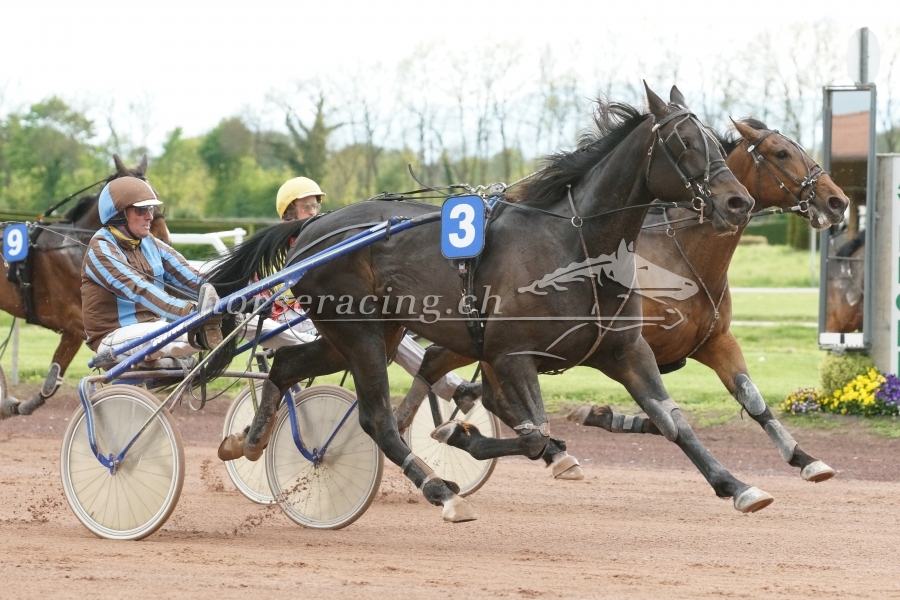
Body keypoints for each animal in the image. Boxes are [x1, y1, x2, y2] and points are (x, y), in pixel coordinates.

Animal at [0, 155, 171, 418]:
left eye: (156, 197)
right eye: (142, 207)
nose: (164, 238)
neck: (76, 246)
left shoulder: (73, 330)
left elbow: (55, 374)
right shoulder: (73, 319)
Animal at [206, 84, 772, 521]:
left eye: (718, 141)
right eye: (685, 141)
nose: (738, 201)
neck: (575, 245)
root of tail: (313, 229)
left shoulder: (625, 349)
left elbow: (672, 421)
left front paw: (738, 486)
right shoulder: (512, 355)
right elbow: (535, 434)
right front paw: (462, 435)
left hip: (364, 333)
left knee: (285, 365)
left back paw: (248, 440)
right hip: (359, 334)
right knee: (376, 419)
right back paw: (439, 490)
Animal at [563, 118, 848, 483]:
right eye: (781, 153)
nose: (837, 200)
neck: (682, 257)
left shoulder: (715, 341)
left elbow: (752, 400)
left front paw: (804, 457)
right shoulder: (629, 348)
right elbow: (662, 414)